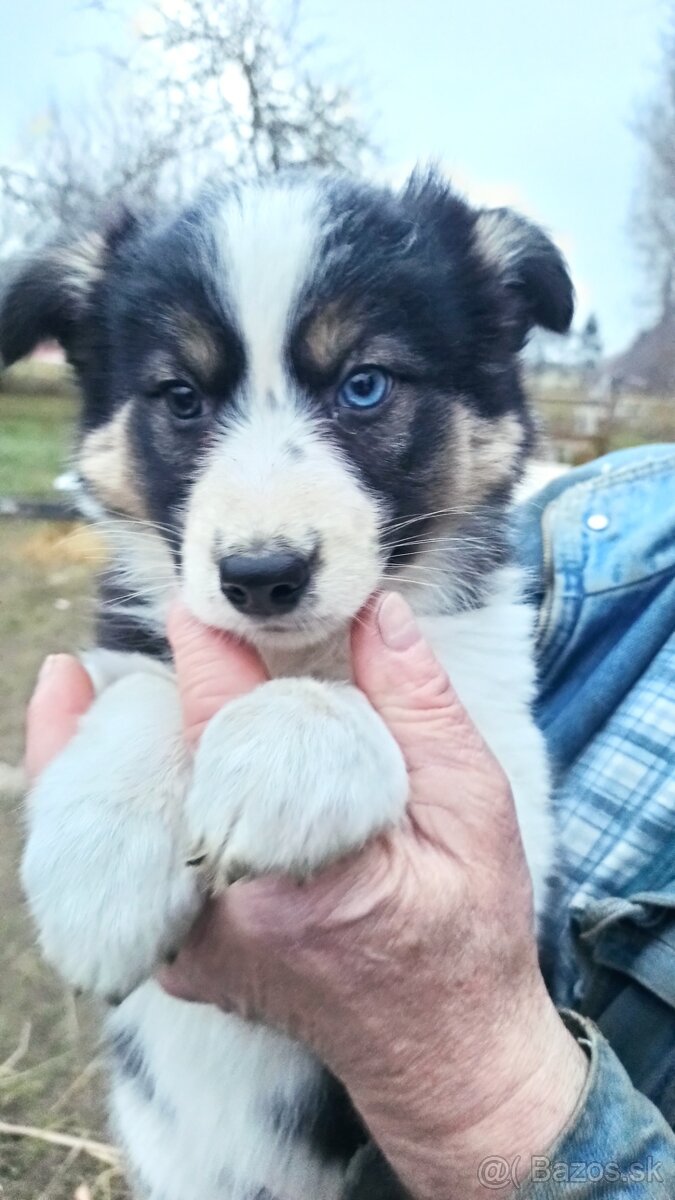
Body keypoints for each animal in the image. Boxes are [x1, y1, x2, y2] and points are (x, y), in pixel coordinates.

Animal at [0, 169, 569, 1200]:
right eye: (181, 397)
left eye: (364, 385)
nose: (262, 576)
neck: (289, 654)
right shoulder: (143, 635)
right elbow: (143, 684)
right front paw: (99, 874)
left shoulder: (514, 803)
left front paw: (286, 748)